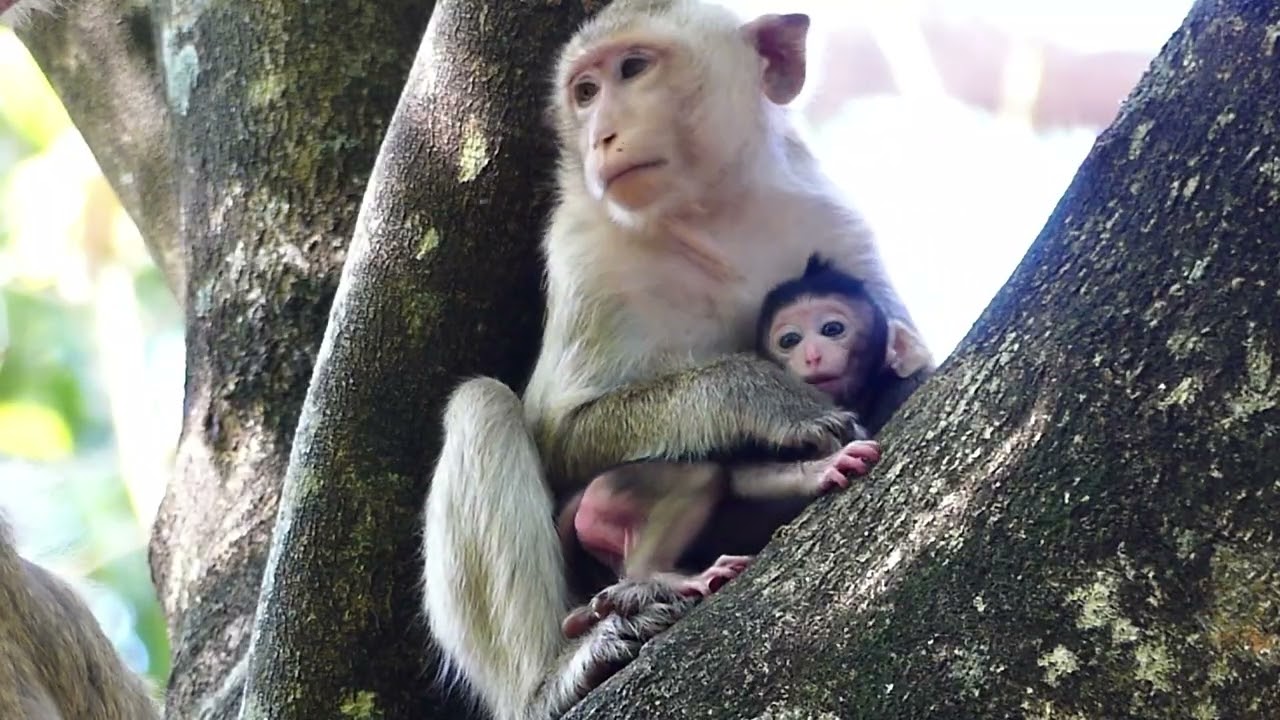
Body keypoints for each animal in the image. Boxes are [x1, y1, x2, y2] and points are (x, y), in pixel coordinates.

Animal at [556, 254, 932, 637]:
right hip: (613, 491)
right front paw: (821, 469)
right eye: (790, 339)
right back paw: (656, 576)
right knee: (702, 475)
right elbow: (744, 474)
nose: (811, 355)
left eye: (832, 329)